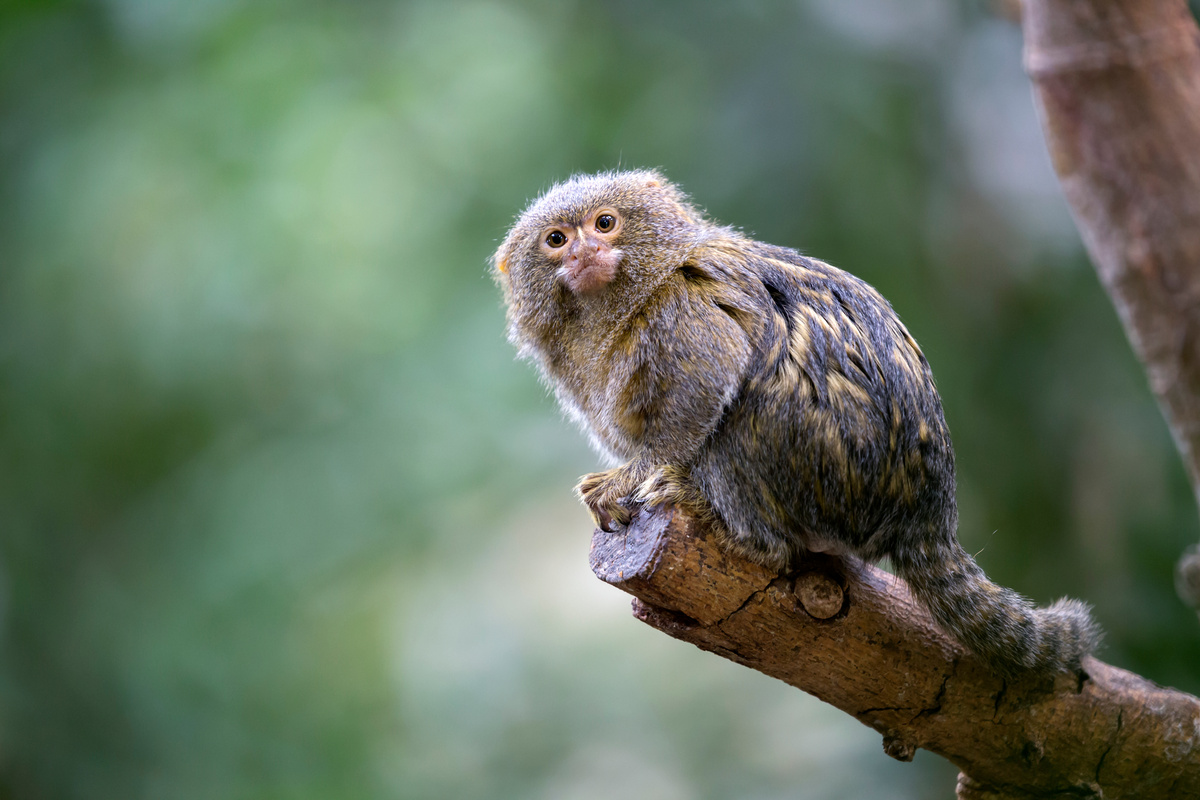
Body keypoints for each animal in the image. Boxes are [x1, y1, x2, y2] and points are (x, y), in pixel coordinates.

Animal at [492, 169, 1099, 676]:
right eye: (556, 240)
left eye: (605, 223)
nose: (587, 250)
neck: (621, 303)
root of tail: (927, 510)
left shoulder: (684, 305)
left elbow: (701, 391)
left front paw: (632, 478)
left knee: (743, 422)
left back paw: (731, 528)